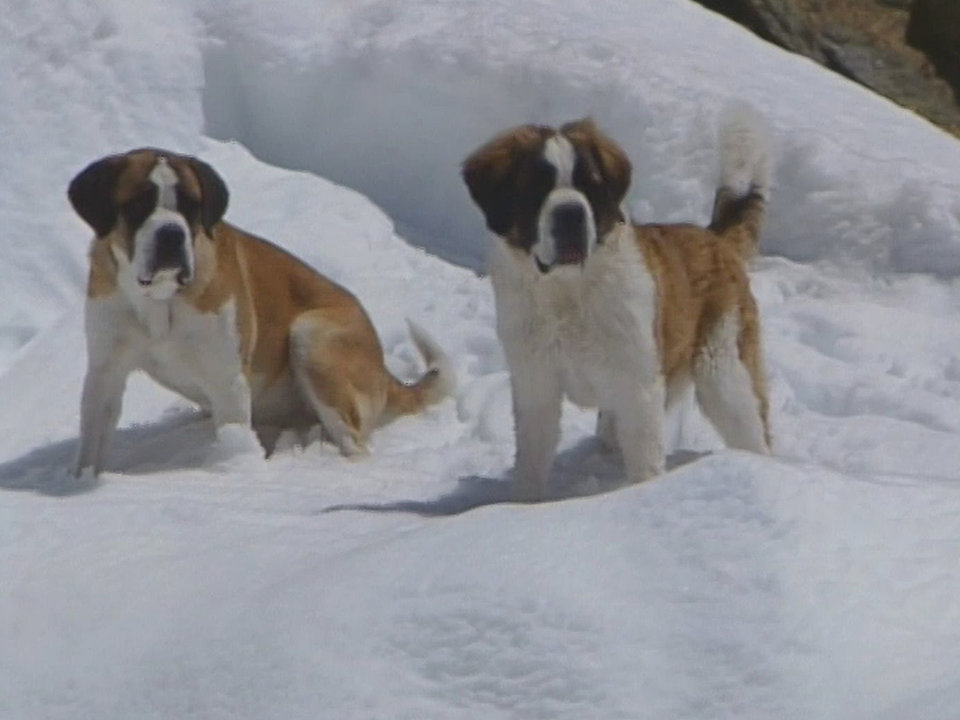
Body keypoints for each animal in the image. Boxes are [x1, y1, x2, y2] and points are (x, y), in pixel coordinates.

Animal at [70, 148, 454, 476]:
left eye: (191, 206)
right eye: (137, 204)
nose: (171, 234)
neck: (160, 300)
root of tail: (383, 369)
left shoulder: (226, 379)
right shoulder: (105, 370)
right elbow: (92, 444)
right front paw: (85, 482)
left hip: (311, 336)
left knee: (353, 443)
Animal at [464, 105, 772, 500]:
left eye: (591, 187)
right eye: (536, 188)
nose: (570, 214)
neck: (567, 292)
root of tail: (713, 237)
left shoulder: (638, 386)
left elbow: (645, 460)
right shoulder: (536, 383)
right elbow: (532, 459)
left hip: (724, 370)